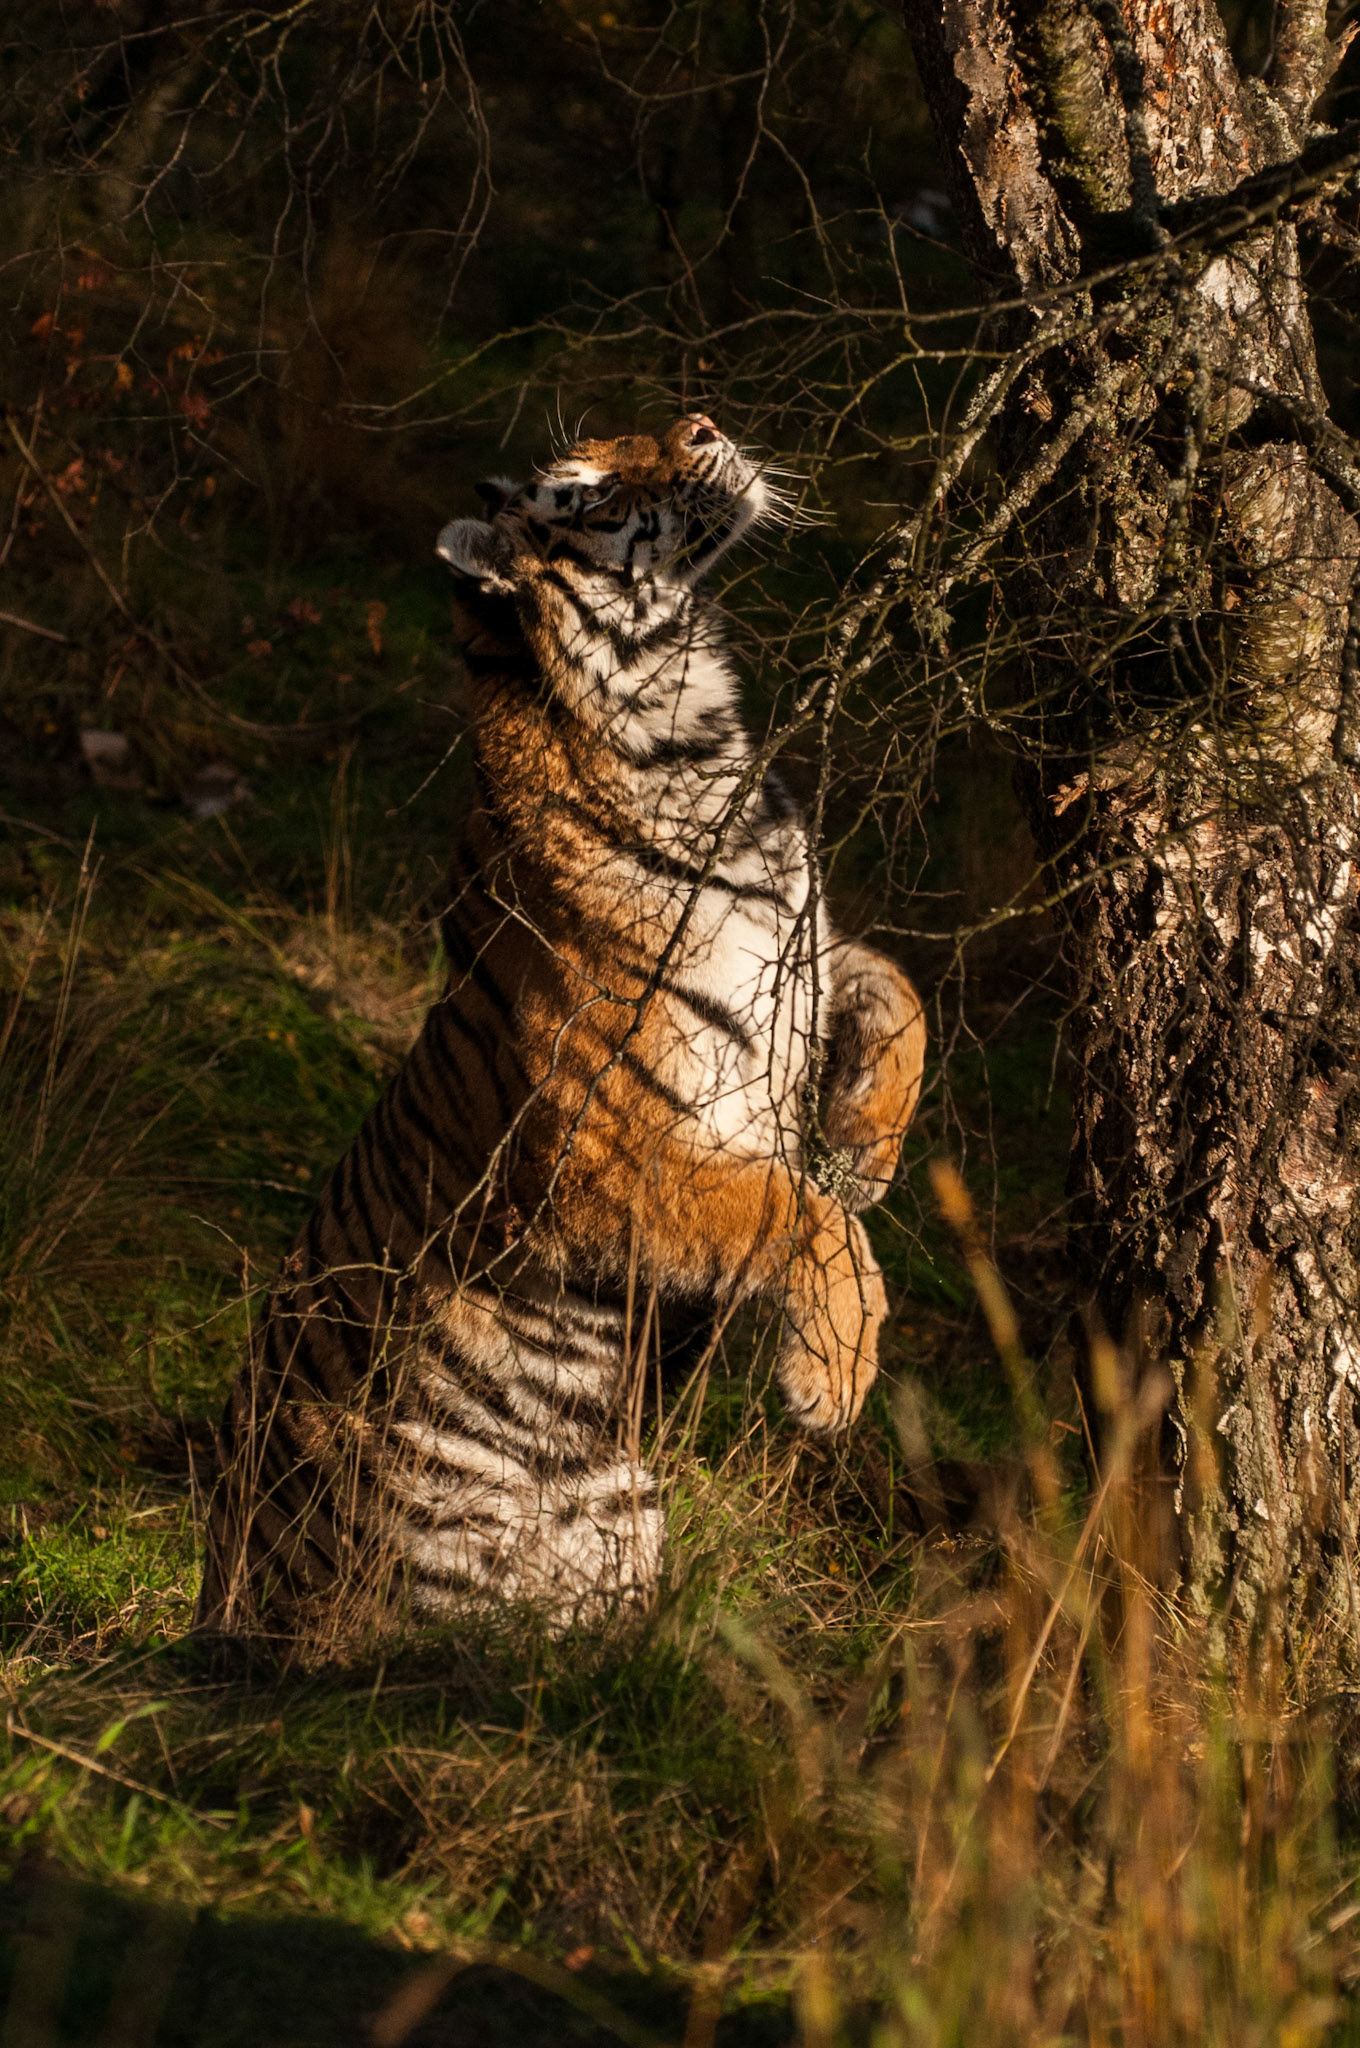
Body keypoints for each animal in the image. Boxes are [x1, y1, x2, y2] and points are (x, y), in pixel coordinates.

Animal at [194, 412, 926, 1647]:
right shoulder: (601, 1151)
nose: (702, 422)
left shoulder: (805, 952)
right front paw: (832, 1374)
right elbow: (797, 1208)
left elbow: (901, 989)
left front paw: (866, 1147)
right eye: (585, 491)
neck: (693, 744)